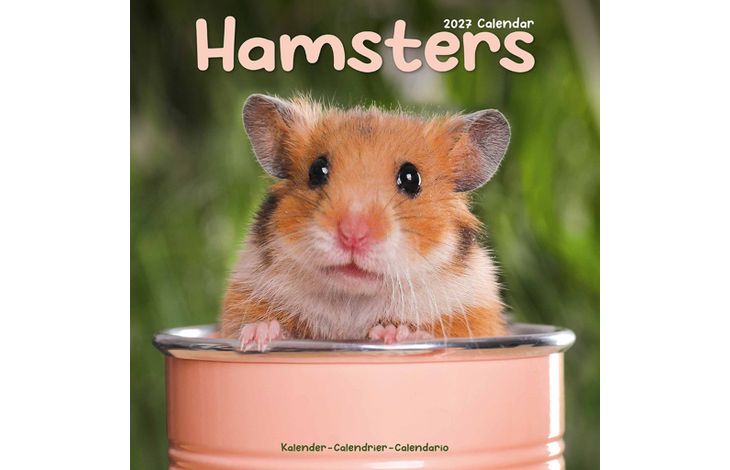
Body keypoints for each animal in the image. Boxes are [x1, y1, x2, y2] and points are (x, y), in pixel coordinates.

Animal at [220, 94, 511, 350]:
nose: (352, 235)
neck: (353, 299)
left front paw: (395, 333)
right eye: (317, 171)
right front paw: (256, 336)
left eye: (411, 178)